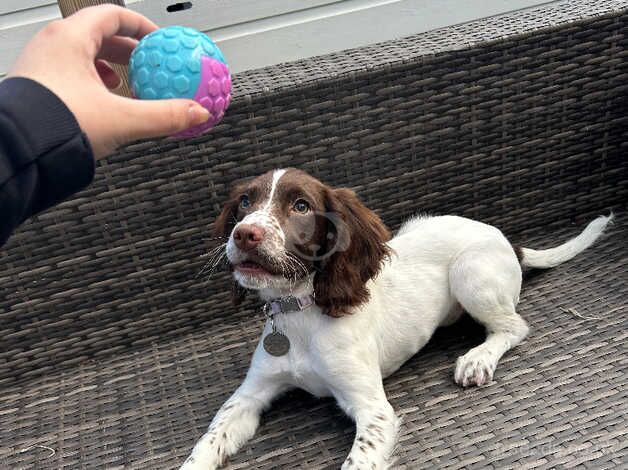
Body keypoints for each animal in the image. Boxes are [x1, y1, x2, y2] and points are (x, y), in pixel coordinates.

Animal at [180, 169, 608, 470]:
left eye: (300, 206)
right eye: (244, 202)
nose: (244, 234)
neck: (300, 313)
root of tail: (505, 239)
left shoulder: (373, 411)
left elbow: (358, 460)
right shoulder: (250, 395)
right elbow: (206, 441)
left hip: (470, 273)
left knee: (513, 326)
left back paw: (478, 359)